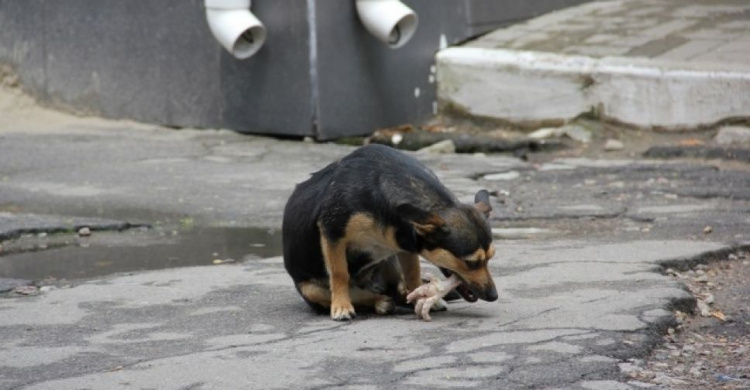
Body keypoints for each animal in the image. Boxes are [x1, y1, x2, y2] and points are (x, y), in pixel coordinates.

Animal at [282, 143, 500, 320]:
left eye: (490, 258)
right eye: (471, 263)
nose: (494, 296)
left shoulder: (405, 244)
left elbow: (412, 275)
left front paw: (419, 296)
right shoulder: (332, 233)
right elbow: (339, 273)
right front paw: (342, 306)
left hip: (389, 262)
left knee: (398, 289)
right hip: (310, 290)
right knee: (365, 294)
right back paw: (379, 301)